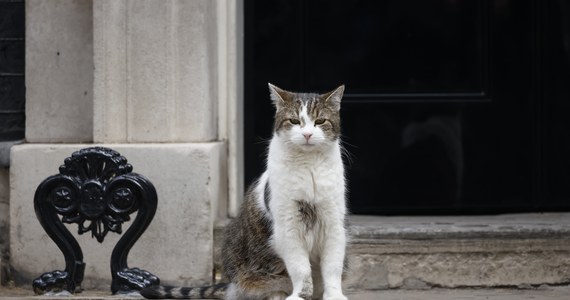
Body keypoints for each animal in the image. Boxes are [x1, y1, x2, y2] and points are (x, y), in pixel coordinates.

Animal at [141, 84, 346, 300]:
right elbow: (300, 268)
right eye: (295, 121)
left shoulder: (334, 224)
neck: (309, 167)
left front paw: (334, 295)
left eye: (320, 121)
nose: (307, 134)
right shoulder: (288, 226)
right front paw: (299, 295)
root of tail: (230, 284)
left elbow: (332, 267)